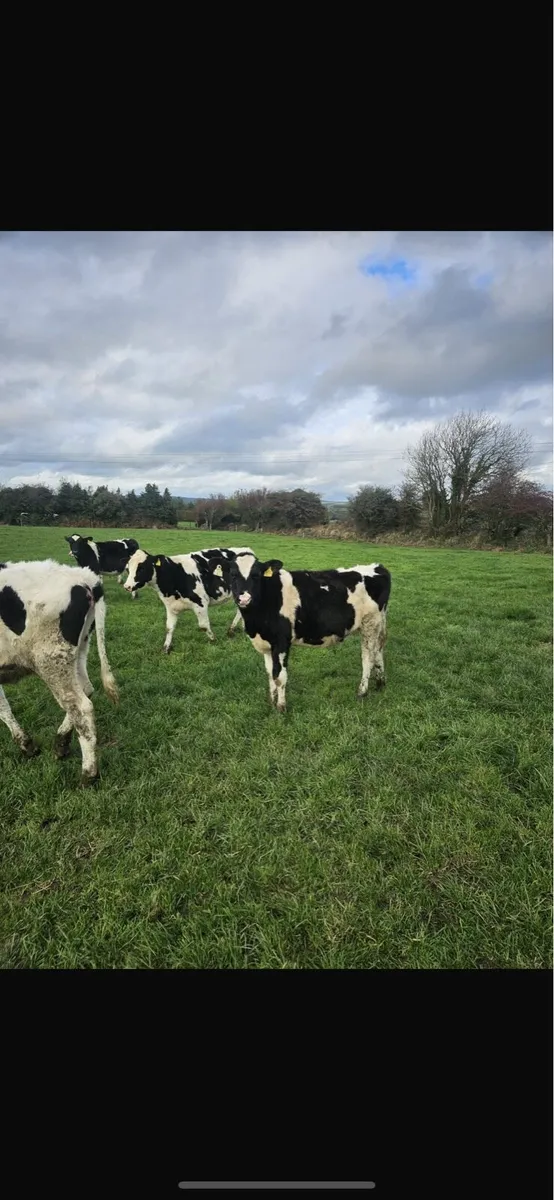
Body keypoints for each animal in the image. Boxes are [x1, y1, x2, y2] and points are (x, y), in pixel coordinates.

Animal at [0, 559, 119, 784]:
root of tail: (84, 578)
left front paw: (26, 745)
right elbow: (3, 707)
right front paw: (26, 744)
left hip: (51, 660)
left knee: (80, 707)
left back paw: (88, 775)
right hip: (77, 651)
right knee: (86, 690)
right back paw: (61, 743)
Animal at [124, 546, 255, 652]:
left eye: (141, 568)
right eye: (128, 568)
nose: (127, 586)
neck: (175, 574)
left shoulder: (201, 603)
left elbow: (203, 625)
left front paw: (213, 640)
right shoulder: (170, 606)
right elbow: (169, 628)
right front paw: (166, 648)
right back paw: (235, 629)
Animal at [222, 551, 391, 712]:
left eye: (256, 575)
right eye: (233, 574)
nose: (244, 599)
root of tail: (377, 566)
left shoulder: (281, 642)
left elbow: (280, 676)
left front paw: (281, 707)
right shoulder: (266, 644)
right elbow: (270, 674)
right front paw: (271, 701)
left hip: (370, 623)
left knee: (368, 656)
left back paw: (362, 691)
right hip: (378, 623)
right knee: (379, 649)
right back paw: (380, 682)